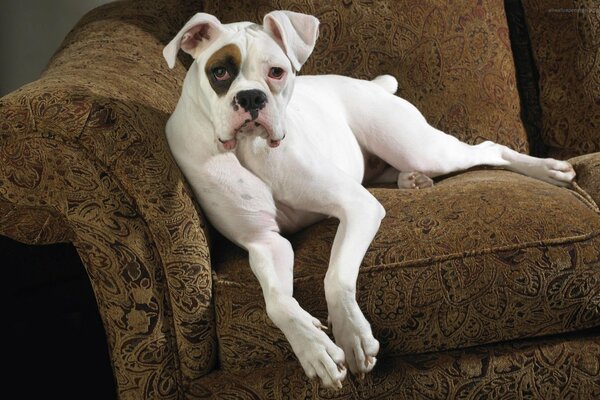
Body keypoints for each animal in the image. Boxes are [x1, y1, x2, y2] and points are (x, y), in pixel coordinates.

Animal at [163, 11, 576, 388]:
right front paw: (315, 348)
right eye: (220, 72)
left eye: (276, 72)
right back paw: (413, 180)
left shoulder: (356, 205)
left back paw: (550, 170)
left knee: (490, 148)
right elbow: (277, 303)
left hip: (421, 147)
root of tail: (372, 85)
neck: (251, 148)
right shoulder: (265, 243)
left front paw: (352, 336)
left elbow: (335, 276)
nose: (251, 97)